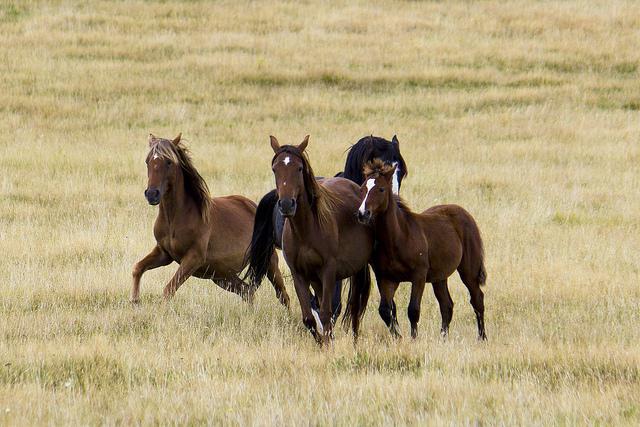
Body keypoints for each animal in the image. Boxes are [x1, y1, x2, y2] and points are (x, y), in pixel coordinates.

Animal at [131, 134, 290, 308]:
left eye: (168, 162)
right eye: (147, 161)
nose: (152, 194)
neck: (175, 219)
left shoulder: (193, 258)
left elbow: (168, 289)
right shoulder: (164, 253)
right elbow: (137, 268)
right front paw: (135, 300)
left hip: (268, 262)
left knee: (282, 295)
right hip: (222, 275)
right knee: (247, 291)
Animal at [264, 136, 376, 344]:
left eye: (300, 168)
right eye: (275, 169)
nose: (286, 204)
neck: (306, 230)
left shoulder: (328, 271)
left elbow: (326, 313)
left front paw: (329, 344)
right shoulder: (299, 274)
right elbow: (310, 318)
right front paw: (323, 343)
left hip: (357, 270)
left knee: (355, 309)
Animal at [358, 160, 488, 342]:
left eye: (381, 189)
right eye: (362, 188)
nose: (363, 213)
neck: (398, 238)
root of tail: (464, 213)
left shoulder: (418, 275)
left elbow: (413, 309)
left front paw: (414, 339)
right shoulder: (386, 278)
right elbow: (385, 310)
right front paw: (398, 338)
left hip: (468, 270)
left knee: (477, 299)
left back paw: (482, 337)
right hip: (439, 276)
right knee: (446, 305)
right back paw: (443, 338)